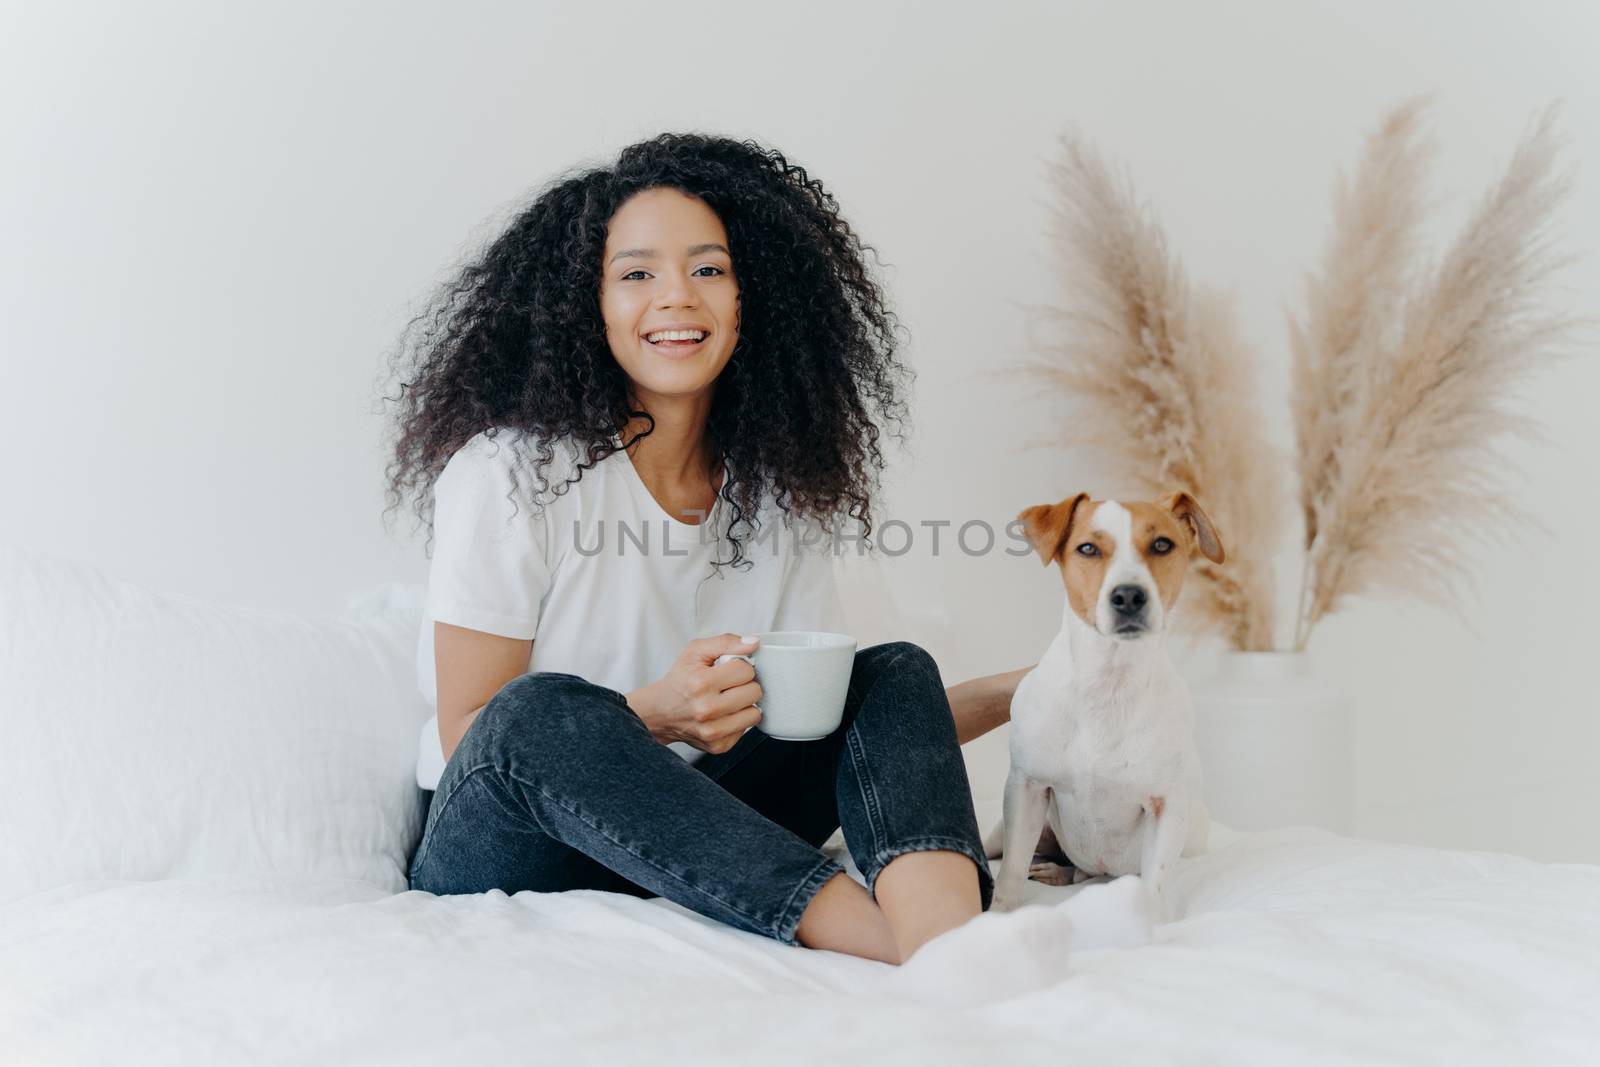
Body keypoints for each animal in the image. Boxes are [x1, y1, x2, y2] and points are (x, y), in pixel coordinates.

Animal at [985, 492, 1222, 927]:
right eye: (1088, 549)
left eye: (1162, 544)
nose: (1128, 596)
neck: (1109, 681)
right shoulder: (1026, 789)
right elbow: (1009, 872)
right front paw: (997, 917)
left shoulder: (1167, 806)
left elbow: (1155, 884)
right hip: (1005, 828)